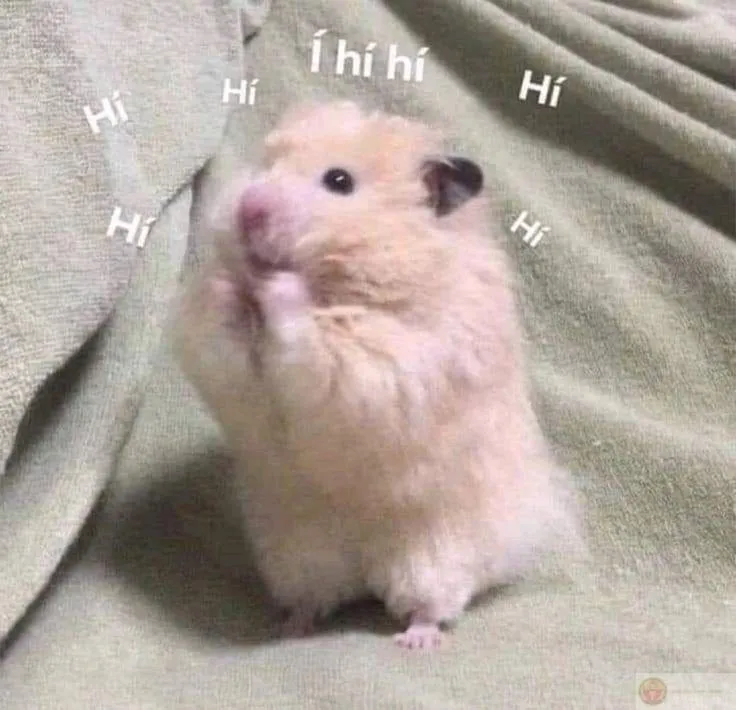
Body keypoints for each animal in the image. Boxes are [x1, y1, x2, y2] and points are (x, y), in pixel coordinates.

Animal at [171, 100, 582, 650]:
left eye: (339, 181)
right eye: (266, 164)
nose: (249, 208)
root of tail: (365, 570)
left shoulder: (389, 364)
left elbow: (315, 336)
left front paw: (277, 284)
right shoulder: (220, 361)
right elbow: (220, 330)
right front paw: (225, 284)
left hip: (433, 552)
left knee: (432, 603)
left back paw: (416, 640)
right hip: (297, 551)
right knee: (315, 596)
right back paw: (291, 627)